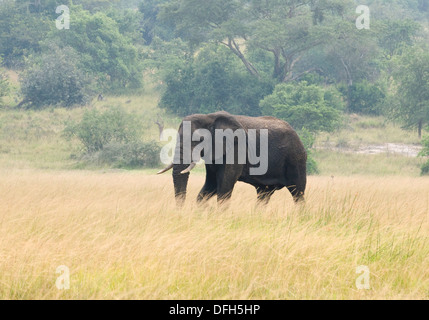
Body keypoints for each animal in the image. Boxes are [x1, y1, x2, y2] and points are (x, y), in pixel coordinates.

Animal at [157, 110, 308, 205]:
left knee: (298, 192)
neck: (209, 117)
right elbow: (211, 185)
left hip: (296, 158)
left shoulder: (236, 148)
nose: (181, 212)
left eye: (198, 140)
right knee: (264, 194)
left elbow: (224, 184)